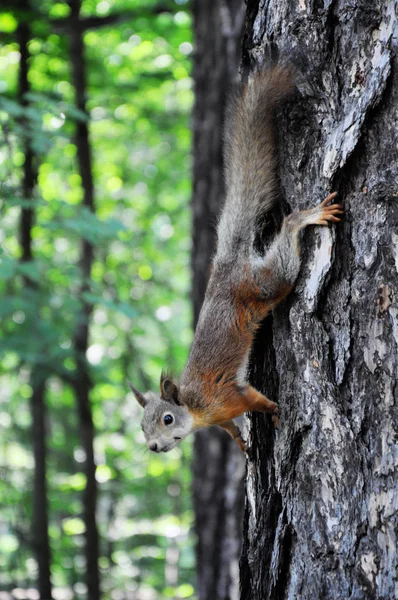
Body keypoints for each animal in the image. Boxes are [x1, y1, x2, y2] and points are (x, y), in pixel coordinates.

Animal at [130, 65, 342, 452]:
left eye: (167, 419)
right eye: (142, 426)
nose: (154, 447)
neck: (196, 409)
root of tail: (227, 264)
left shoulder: (227, 396)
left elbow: (252, 399)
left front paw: (274, 410)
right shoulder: (220, 415)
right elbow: (229, 427)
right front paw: (241, 442)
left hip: (265, 284)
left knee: (286, 244)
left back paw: (304, 218)